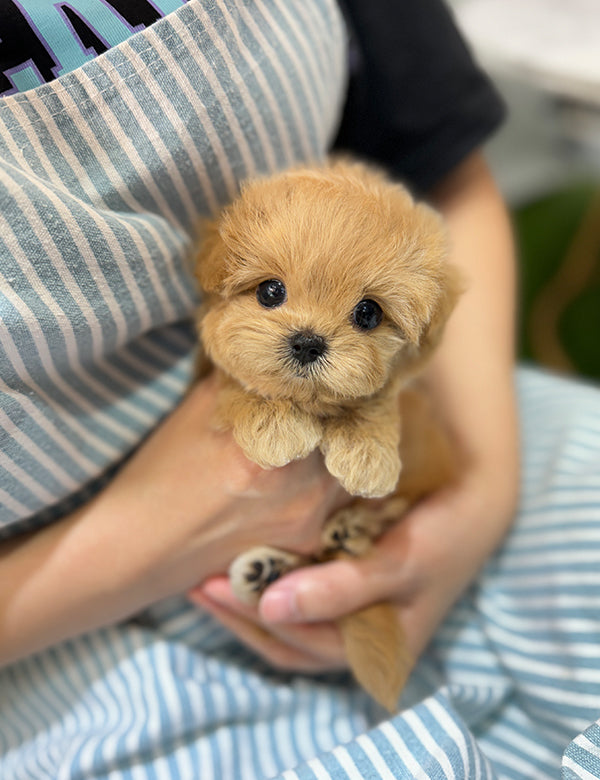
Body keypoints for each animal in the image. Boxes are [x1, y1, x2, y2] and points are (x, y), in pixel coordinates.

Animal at [195, 160, 462, 712]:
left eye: (369, 313)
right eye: (270, 292)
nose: (307, 342)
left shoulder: (405, 395)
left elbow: (377, 397)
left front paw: (365, 452)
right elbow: (238, 383)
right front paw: (274, 424)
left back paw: (352, 527)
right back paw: (265, 570)